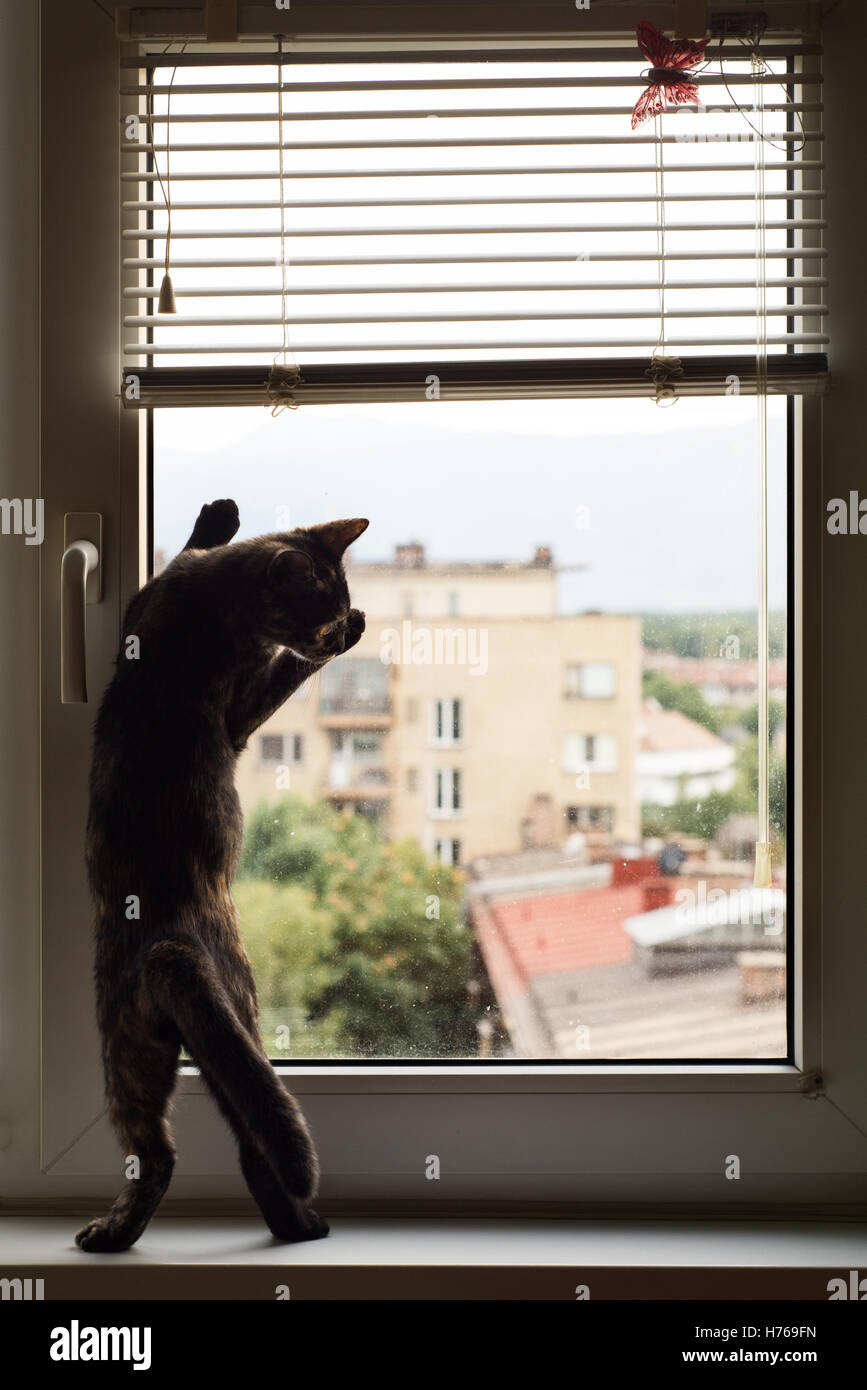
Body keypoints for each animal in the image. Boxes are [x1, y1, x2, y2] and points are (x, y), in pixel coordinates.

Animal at [75, 500, 369, 1251]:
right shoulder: (233, 706)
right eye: (319, 617)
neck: (212, 603)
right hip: (227, 1032)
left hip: (130, 1053)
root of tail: (173, 943)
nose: (340, 632)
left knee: (160, 1153)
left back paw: (113, 1233)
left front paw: (217, 517)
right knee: (251, 1139)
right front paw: (221, 517)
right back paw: (298, 1227)